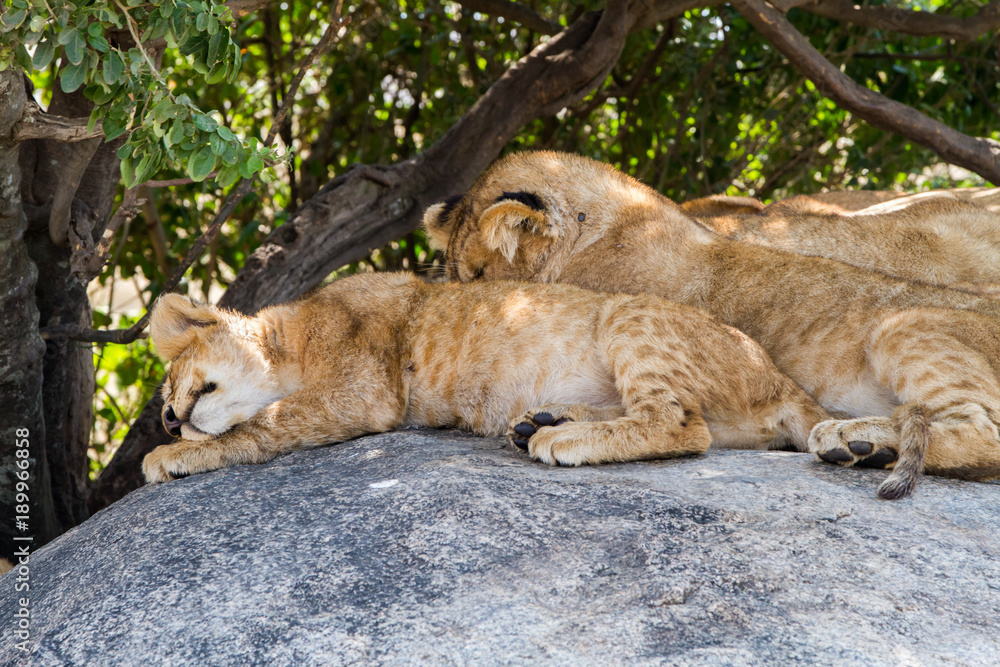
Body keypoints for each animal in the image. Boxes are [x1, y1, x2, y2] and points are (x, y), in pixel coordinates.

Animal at [142, 272, 832, 483]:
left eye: (172, 381)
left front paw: (169, 457)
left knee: (682, 424)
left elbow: (266, 421)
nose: (171, 420)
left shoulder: (365, 391)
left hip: (629, 312)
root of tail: (781, 377)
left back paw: (562, 438)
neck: (290, 338)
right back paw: (545, 421)